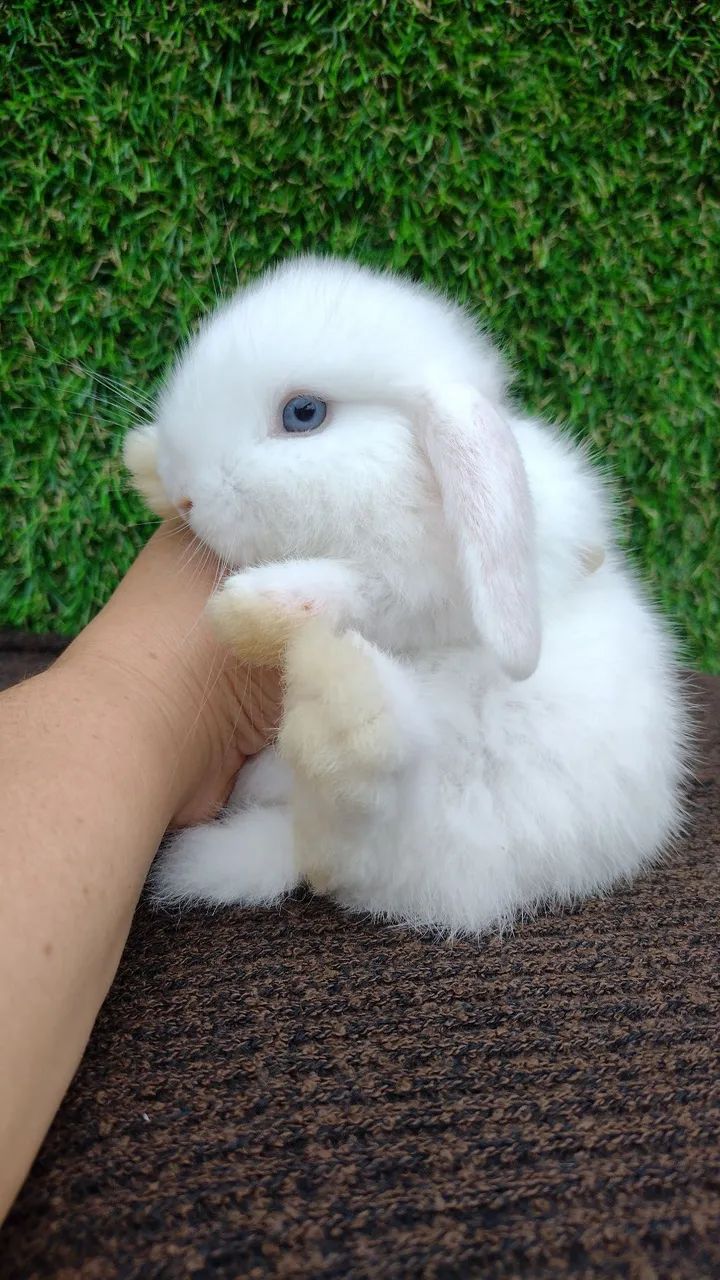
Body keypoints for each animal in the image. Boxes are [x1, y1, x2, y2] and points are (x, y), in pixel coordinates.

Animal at [123, 255, 690, 935]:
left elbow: (362, 593)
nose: (184, 495)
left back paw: (344, 699)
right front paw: (143, 460)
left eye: (303, 413)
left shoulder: (424, 594)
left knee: (350, 838)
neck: (398, 482)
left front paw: (253, 608)